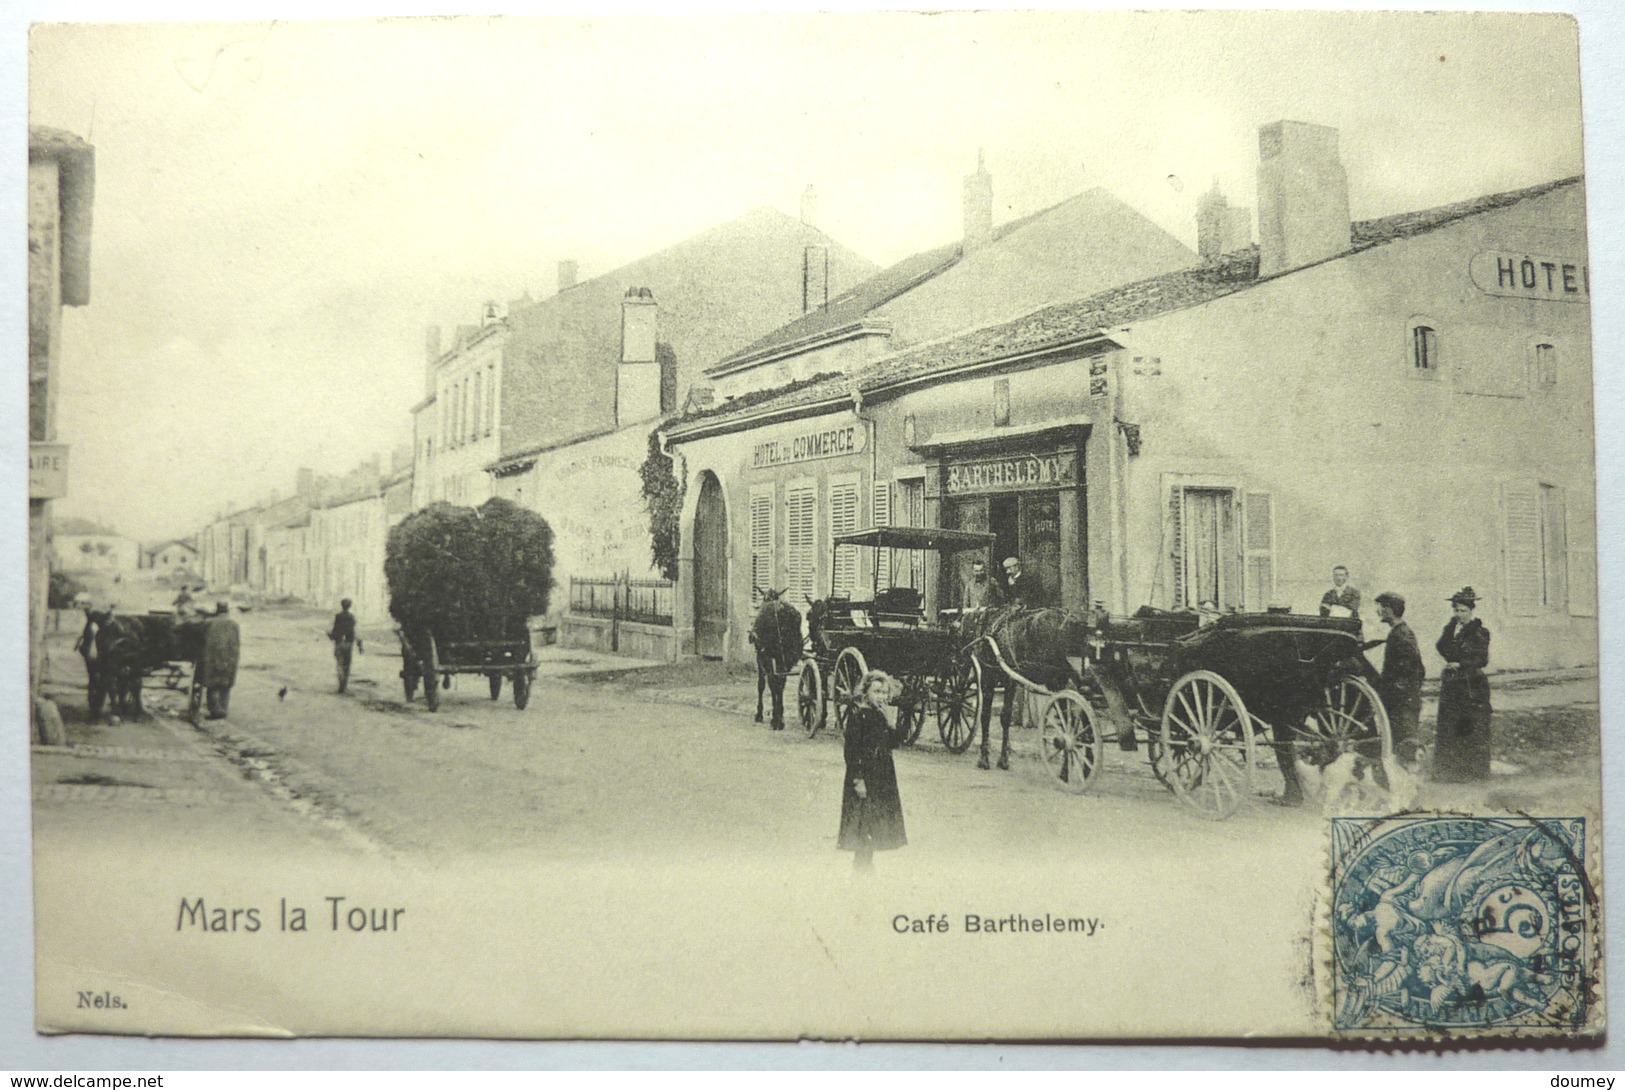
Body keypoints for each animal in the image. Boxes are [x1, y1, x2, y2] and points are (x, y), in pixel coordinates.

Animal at [744, 588, 802, 734]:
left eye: (764, 599)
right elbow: (778, 683)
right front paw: (779, 715)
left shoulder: (760, 655)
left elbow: (761, 684)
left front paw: (759, 714)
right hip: (788, 656)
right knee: (781, 681)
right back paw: (779, 718)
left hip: (768, 655)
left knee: (772, 680)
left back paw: (775, 720)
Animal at [955, 604, 1098, 766]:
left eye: (958, 640)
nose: (959, 683)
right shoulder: (1009, 681)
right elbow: (1005, 717)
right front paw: (1003, 758)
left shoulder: (988, 679)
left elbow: (986, 716)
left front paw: (984, 758)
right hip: (1059, 681)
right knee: (1071, 713)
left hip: (1056, 678)